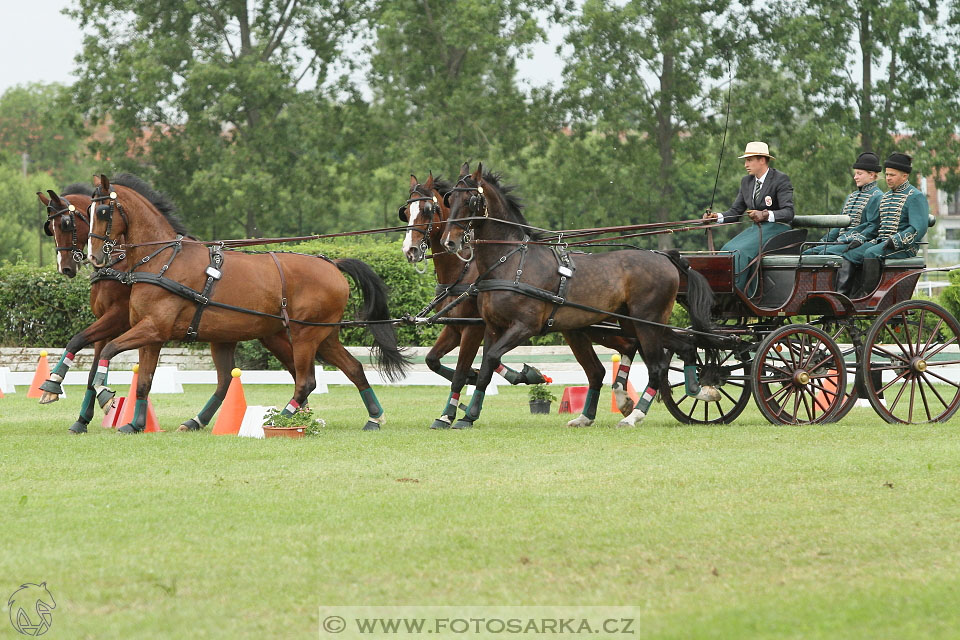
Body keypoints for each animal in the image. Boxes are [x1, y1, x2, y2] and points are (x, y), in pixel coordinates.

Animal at [83, 172, 408, 432]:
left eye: (103, 210)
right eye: (88, 210)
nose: (94, 256)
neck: (164, 260)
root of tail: (331, 263)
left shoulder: (153, 329)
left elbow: (109, 350)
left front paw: (105, 395)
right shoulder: (152, 335)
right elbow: (144, 382)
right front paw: (136, 424)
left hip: (305, 335)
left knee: (306, 381)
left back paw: (280, 420)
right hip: (321, 336)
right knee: (353, 369)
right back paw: (374, 418)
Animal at [398, 172, 644, 428]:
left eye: (428, 210)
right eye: (405, 212)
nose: (410, 250)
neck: (465, 269)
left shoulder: (473, 329)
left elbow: (461, 371)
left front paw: (449, 413)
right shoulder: (456, 327)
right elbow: (432, 360)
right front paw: (489, 377)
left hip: (598, 326)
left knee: (630, 345)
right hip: (581, 327)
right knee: (615, 356)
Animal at [438, 162, 716, 428]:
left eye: (470, 200)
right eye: (450, 199)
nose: (449, 242)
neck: (512, 261)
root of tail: (665, 257)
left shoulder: (524, 327)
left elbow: (491, 359)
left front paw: (468, 413)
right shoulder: (494, 327)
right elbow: (486, 367)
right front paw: (467, 416)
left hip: (647, 322)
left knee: (657, 367)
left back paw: (634, 415)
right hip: (635, 323)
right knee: (684, 346)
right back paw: (697, 390)